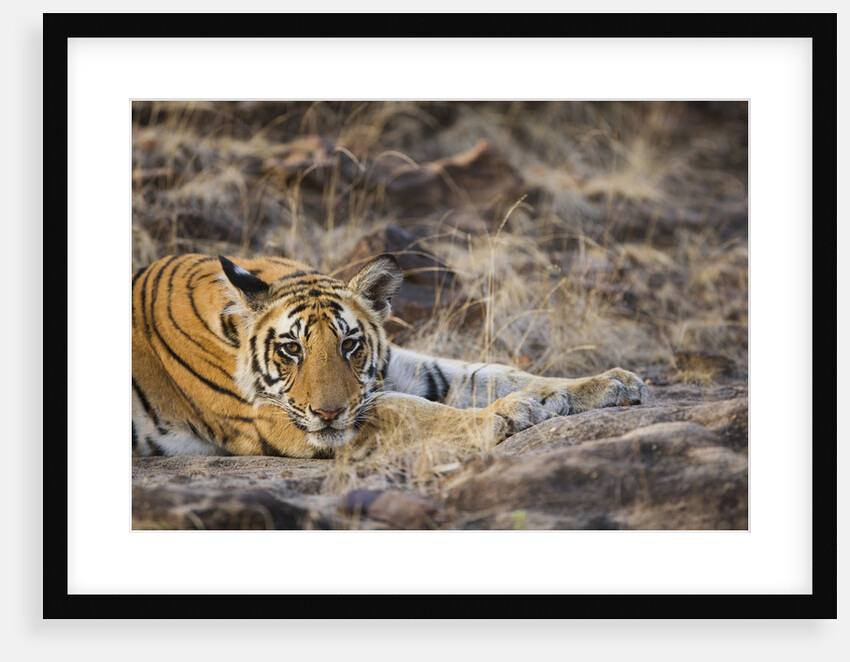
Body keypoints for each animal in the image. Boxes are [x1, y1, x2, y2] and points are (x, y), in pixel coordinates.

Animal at [132, 252, 648, 458]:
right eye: (291, 349)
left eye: (350, 344)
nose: (328, 413)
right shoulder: (273, 417)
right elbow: (412, 411)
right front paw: (505, 415)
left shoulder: (396, 367)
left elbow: (493, 373)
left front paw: (610, 383)